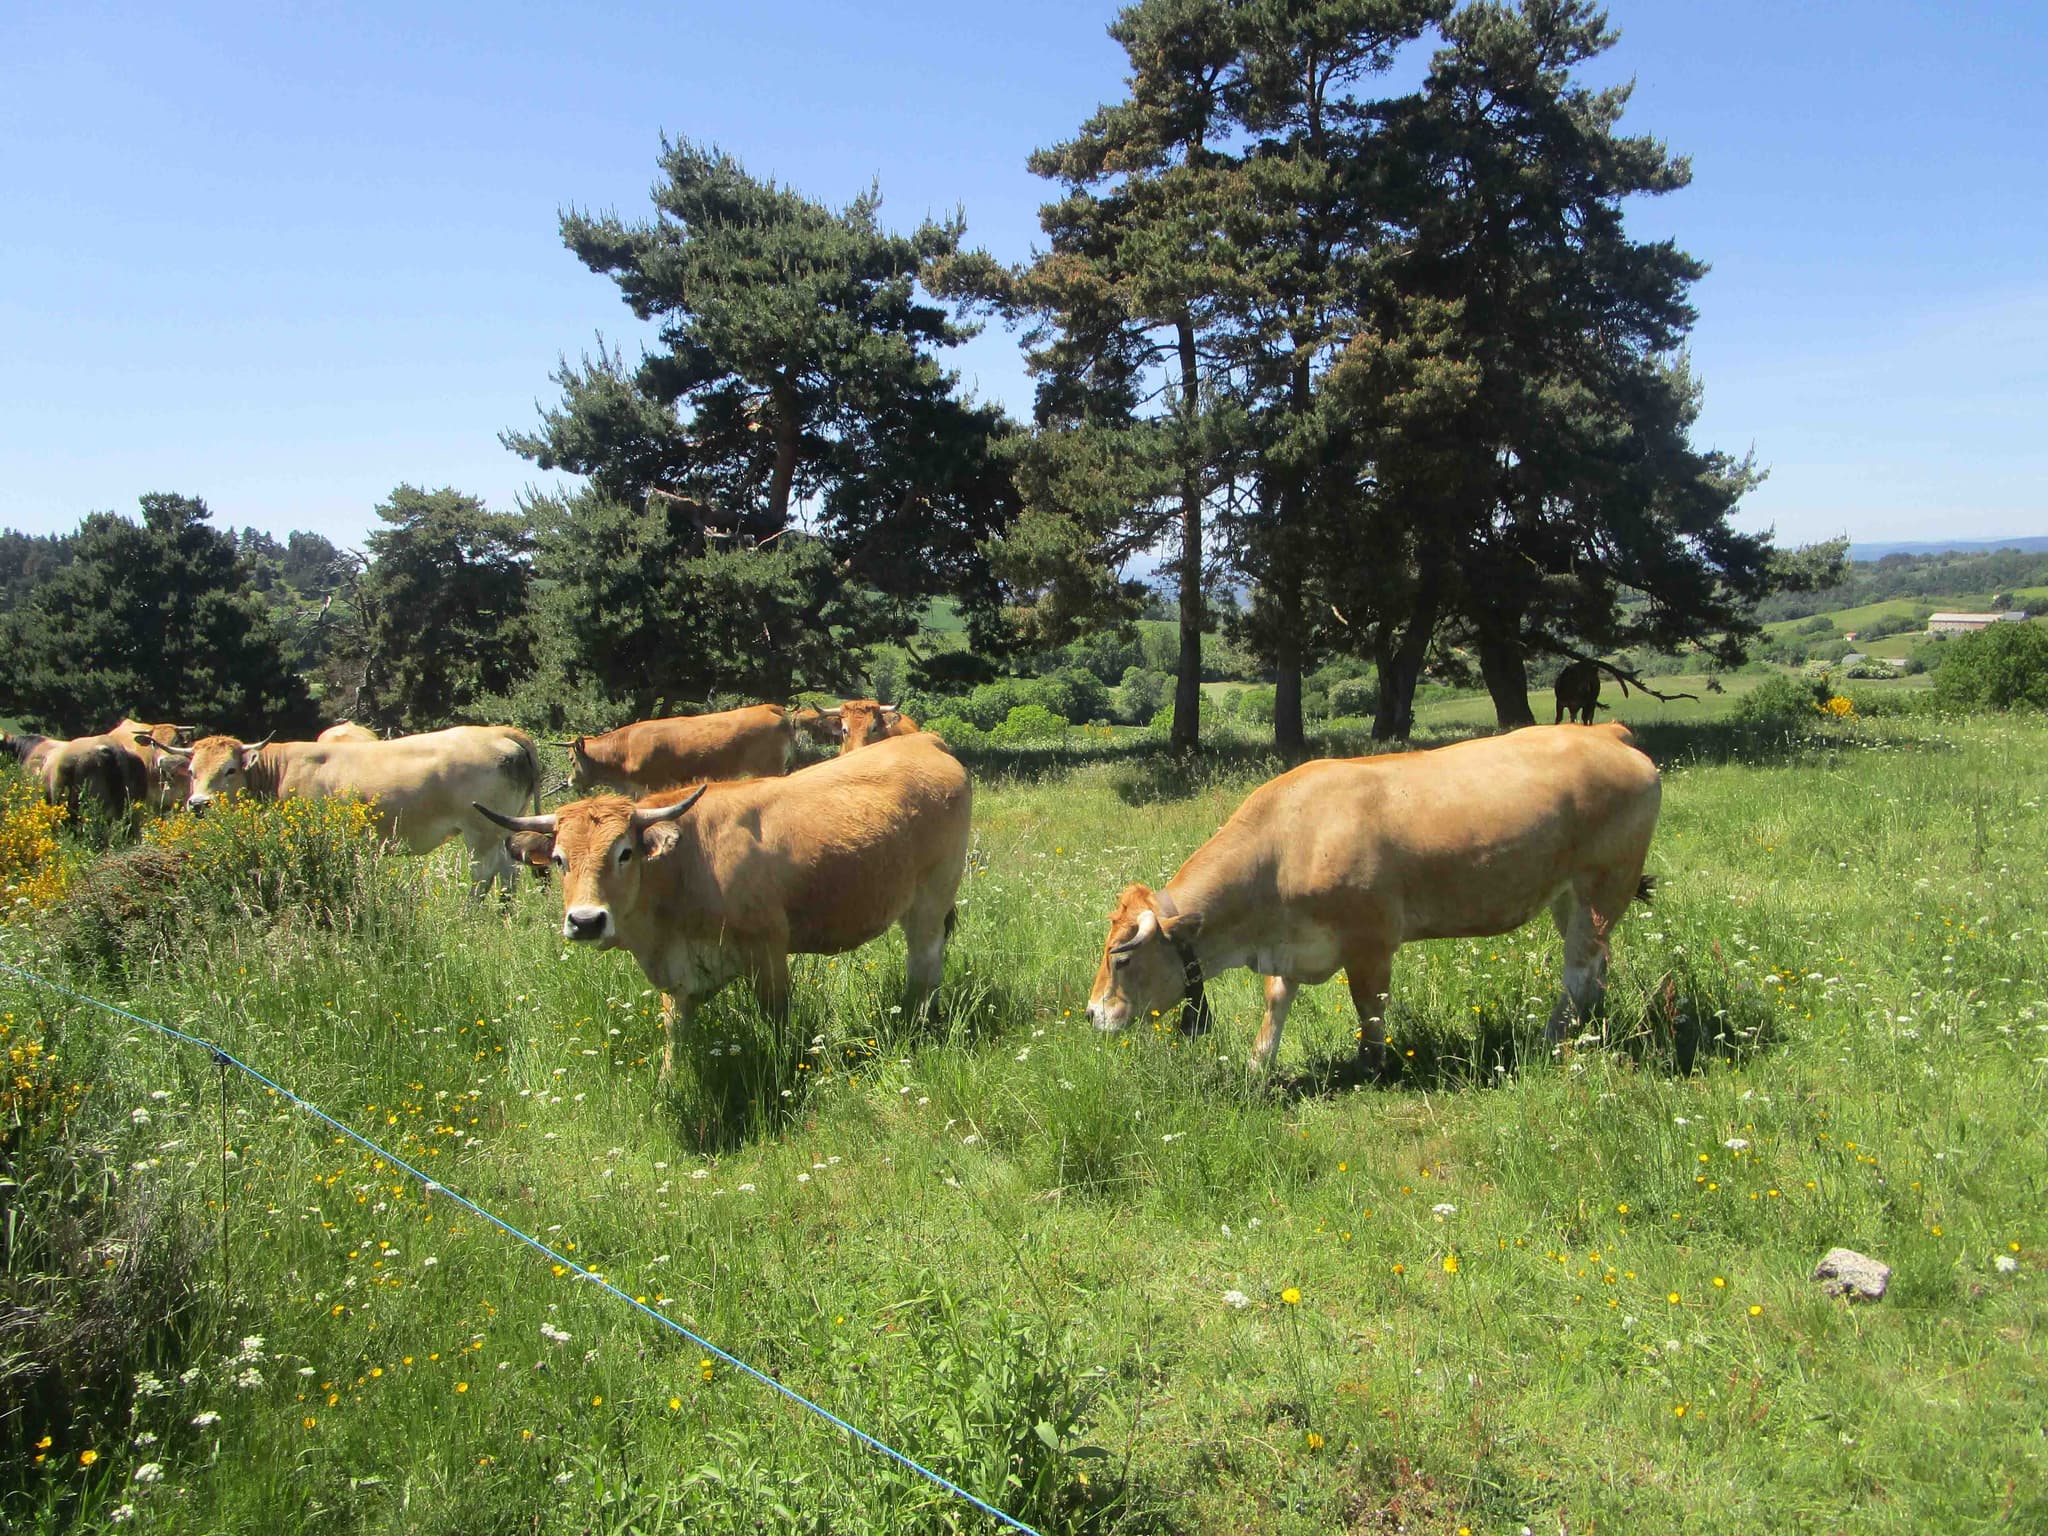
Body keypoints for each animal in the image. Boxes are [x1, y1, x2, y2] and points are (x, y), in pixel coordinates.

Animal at [159, 726, 545, 896]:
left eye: (229, 769)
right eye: (192, 771)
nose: (199, 804)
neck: (281, 769)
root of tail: (499, 732)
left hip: (480, 832)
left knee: (484, 874)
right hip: (502, 827)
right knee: (509, 872)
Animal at [480, 732, 972, 1087]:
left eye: (624, 853)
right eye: (559, 859)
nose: (585, 921)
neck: (688, 864)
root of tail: (926, 740)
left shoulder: (767, 951)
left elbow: (776, 1021)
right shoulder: (679, 972)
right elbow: (675, 1031)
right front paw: (670, 1082)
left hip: (930, 901)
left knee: (925, 965)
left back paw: (914, 1027)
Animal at [1085, 723, 1661, 1074]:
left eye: (1121, 958)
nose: (1091, 1014)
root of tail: (1604, 732)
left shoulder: (1371, 942)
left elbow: (1370, 1008)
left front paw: (1371, 1067)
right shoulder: (1292, 946)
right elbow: (1276, 1002)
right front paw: (1257, 1067)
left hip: (1603, 884)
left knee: (1579, 969)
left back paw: (1548, 1040)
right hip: (1571, 896)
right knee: (1598, 964)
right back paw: (1586, 1031)